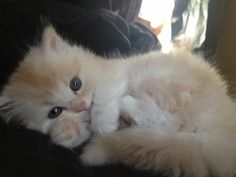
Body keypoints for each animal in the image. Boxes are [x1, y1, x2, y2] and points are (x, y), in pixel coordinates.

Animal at [0, 26, 236, 177]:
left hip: (155, 79)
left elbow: (102, 100)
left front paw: (103, 123)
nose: (80, 107)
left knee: (169, 119)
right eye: (54, 111)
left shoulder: (116, 72)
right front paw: (66, 131)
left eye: (75, 83)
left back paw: (127, 106)